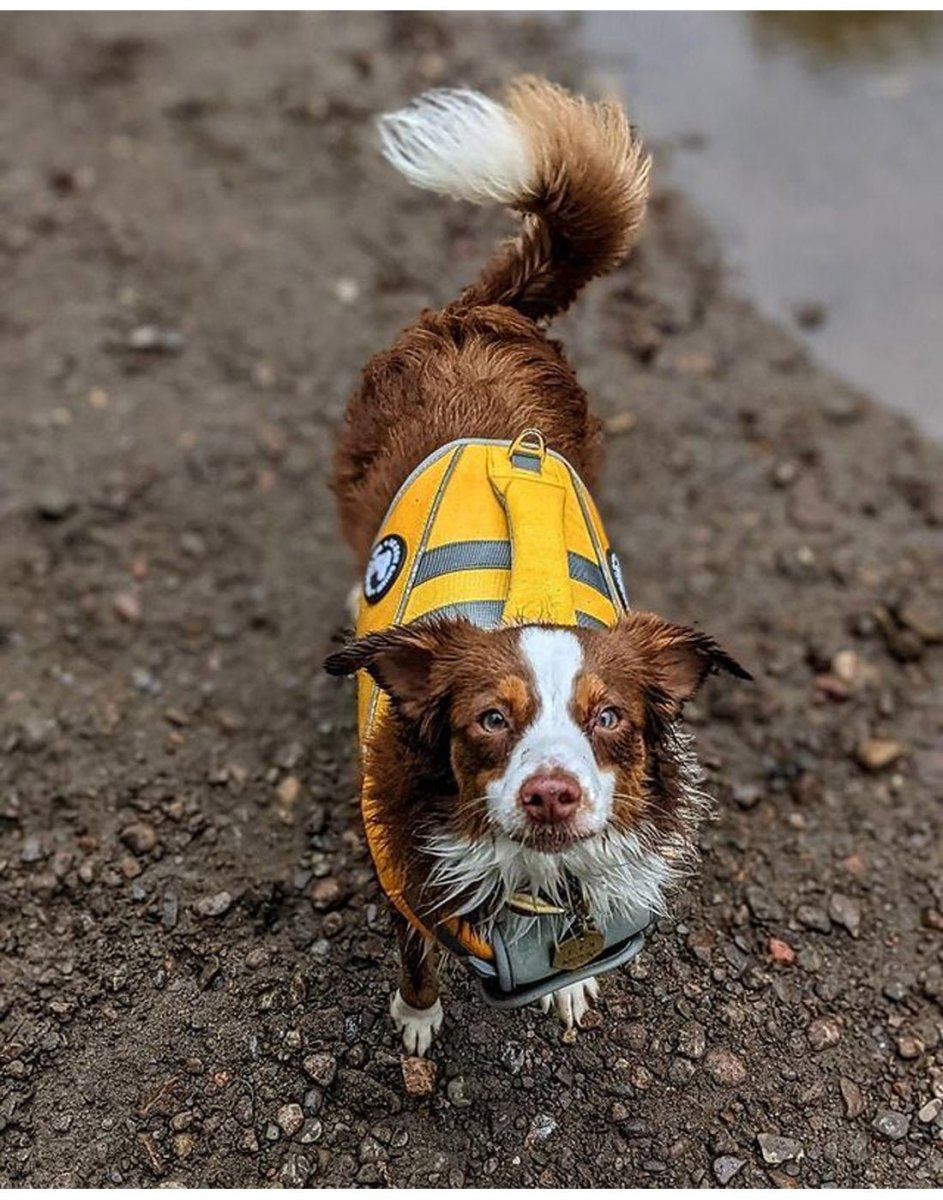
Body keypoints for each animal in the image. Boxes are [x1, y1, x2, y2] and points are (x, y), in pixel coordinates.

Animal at [326, 77, 748, 1051]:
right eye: (489, 719)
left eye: (609, 718)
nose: (551, 795)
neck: (532, 882)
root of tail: (482, 313)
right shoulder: (403, 878)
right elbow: (416, 958)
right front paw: (417, 1021)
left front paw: (567, 987)